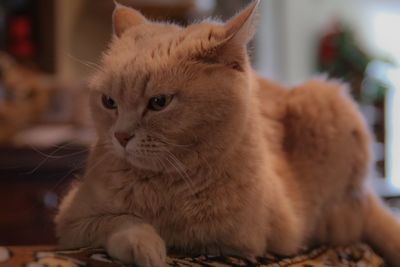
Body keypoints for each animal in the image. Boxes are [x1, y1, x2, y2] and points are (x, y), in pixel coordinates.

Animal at [55, 1, 400, 266]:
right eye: (109, 102)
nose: (121, 137)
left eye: (159, 102)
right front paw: (145, 244)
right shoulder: (72, 220)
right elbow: (120, 220)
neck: (165, 183)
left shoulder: (234, 240)